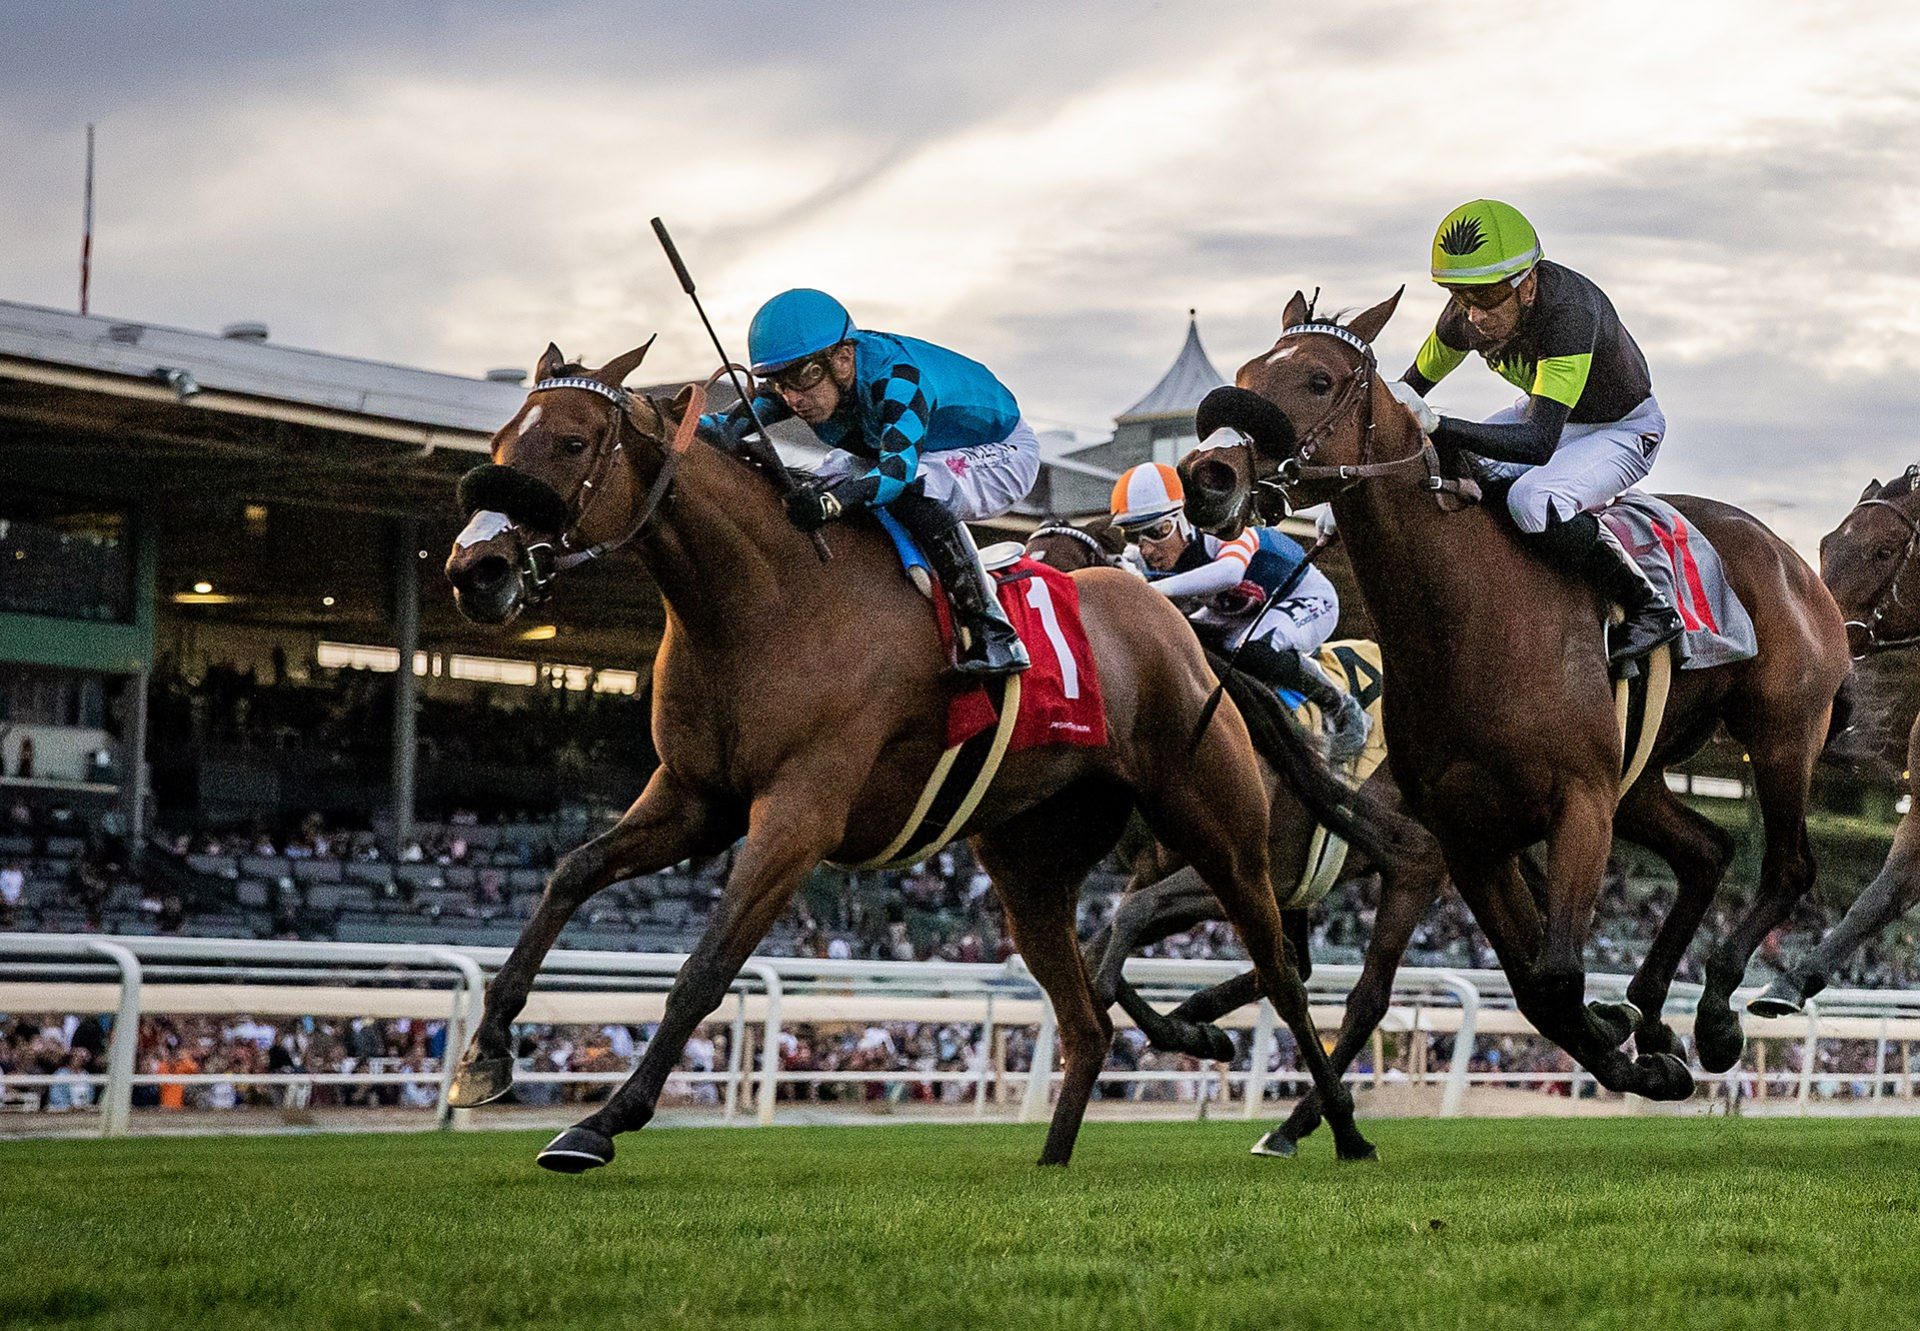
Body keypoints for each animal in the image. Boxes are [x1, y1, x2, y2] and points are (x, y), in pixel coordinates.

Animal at [1175, 288, 1850, 1090]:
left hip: (1780, 735)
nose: (1208, 476)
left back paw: (1716, 1014)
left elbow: (1556, 976)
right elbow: (1535, 986)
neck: (1469, 618)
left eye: (1317, 380)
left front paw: (1635, 1053)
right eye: (1247, 371)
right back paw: (1653, 1009)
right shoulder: (1468, 838)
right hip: (1641, 777)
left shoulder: (1579, 802)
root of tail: (1798, 564)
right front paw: (1632, 1045)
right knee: (1709, 851)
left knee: (1788, 865)